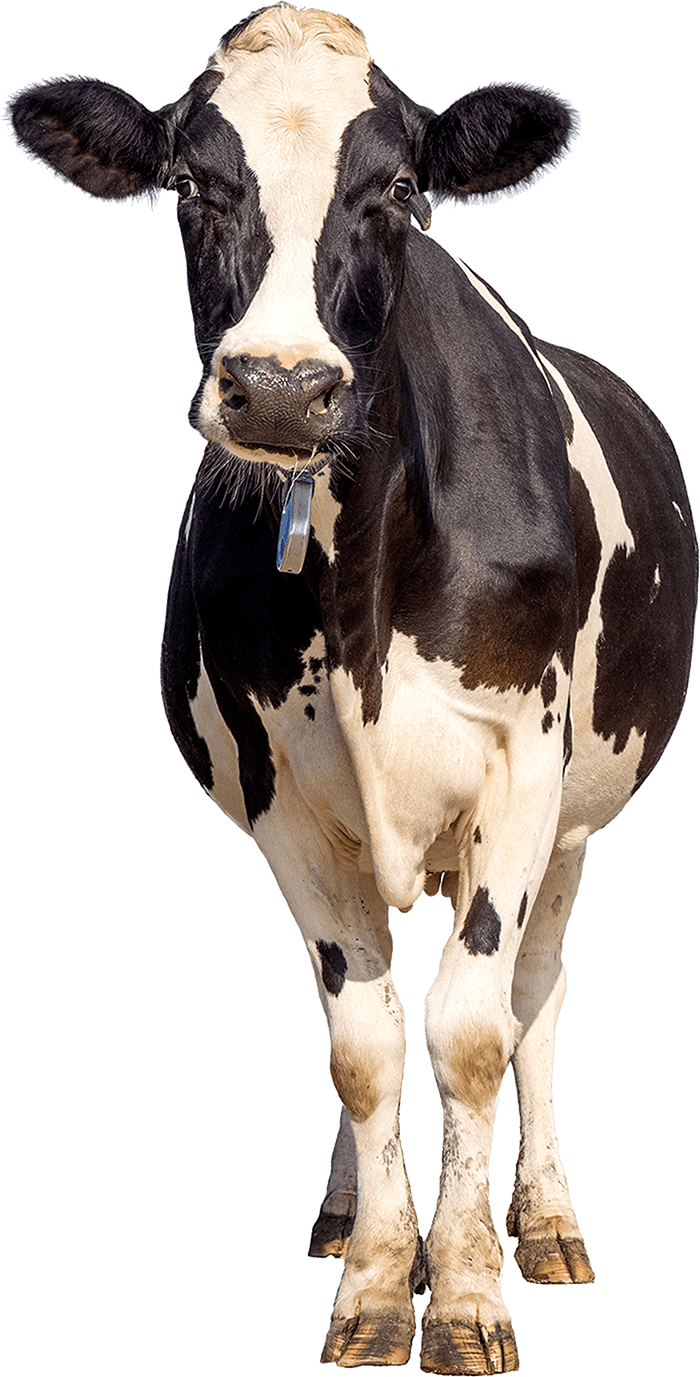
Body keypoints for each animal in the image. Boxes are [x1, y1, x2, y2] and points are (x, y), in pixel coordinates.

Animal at [6, 5, 696, 1373]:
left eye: (397, 194)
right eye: (188, 188)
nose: (280, 386)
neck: (364, 577)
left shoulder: (521, 777)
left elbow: (474, 1031)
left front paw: (470, 1292)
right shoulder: (283, 799)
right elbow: (366, 1042)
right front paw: (381, 1289)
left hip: (580, 819)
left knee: (539, 998)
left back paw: (545, 1225)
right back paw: (343, 1215)